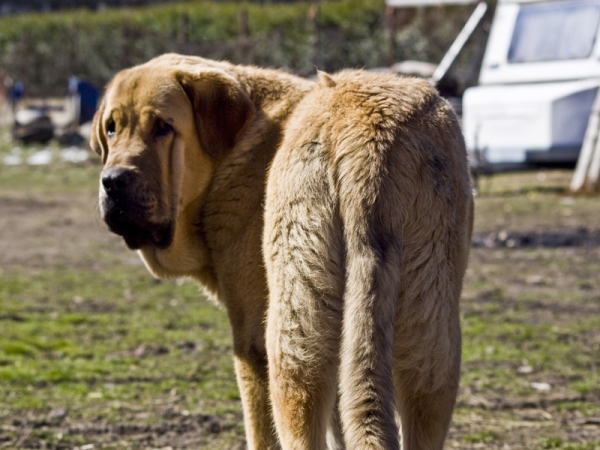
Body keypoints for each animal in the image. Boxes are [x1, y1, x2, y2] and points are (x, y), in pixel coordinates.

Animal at [90, 53, 474, 450]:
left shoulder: (251, 344)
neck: (235, 151)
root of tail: (368, 139)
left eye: (163, 128)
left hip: (292, 339)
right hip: (428, 333)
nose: (114, 181)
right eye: (112, 129)